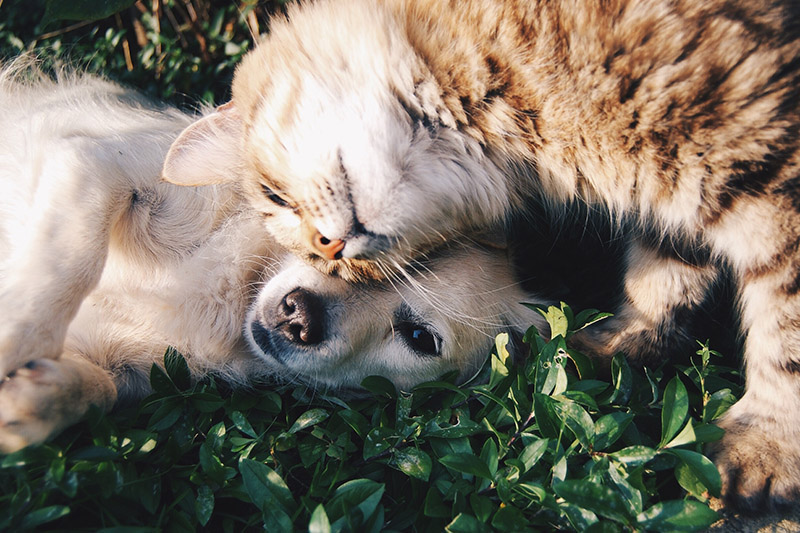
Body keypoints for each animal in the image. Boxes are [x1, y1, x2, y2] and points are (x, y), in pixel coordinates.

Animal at [0, 63, 544, 454]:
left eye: (419, 338)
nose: (298, 317)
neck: (235, 291)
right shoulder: (93, 163)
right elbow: (67, 263)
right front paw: (13, 340)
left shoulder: (130, 371)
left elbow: (99, 390)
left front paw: (33, 400)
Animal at [161, 0, 800, 512]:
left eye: (275, 197)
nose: (331, 249)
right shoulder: (675, 200)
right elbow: (664, 277)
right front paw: (618, 346)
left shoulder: (767, 171)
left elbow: (785, 332)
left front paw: (767, 447)